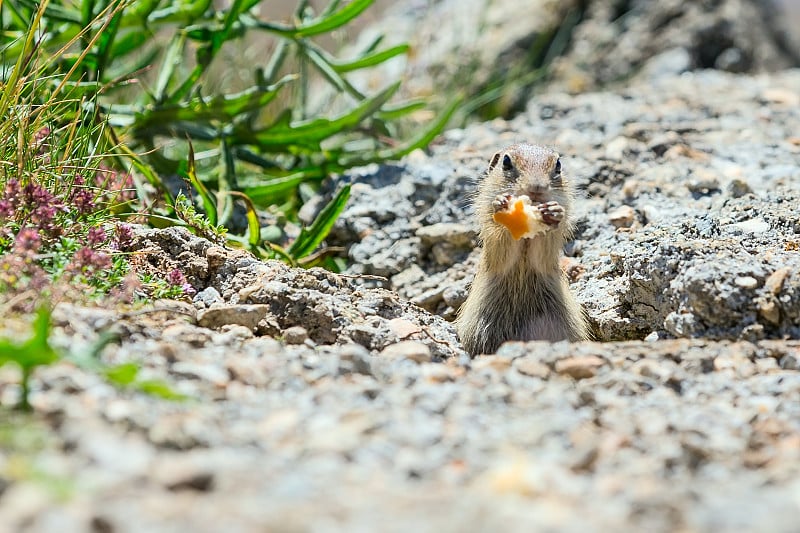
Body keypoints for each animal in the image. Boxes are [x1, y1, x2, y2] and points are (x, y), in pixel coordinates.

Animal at [456, 143, 588, 356]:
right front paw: (501, 204)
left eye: (558, 165)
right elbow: (502, 246)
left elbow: (543, 252)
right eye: (506, 161)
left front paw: (555, 212)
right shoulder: (493, 240)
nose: (536, 188)